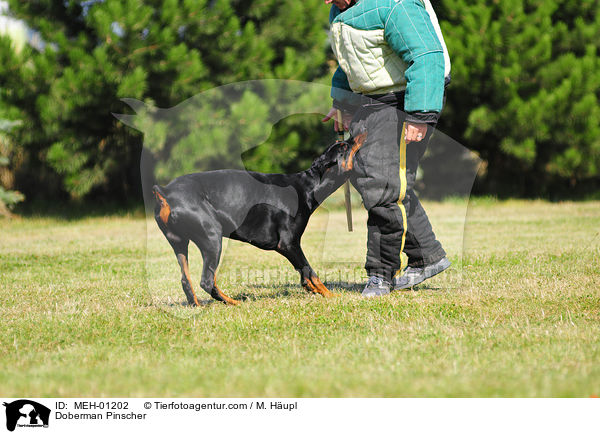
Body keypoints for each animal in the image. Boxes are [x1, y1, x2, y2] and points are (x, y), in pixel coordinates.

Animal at [152, 133, 366, 306]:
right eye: (344, 146)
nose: (359, 132)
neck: (308, 186)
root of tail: (166, 192)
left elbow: (305, 275)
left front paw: (314, 291)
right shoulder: (288, 243)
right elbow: (310, 271)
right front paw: (330, 295)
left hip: (179, 243)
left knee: (185, 280)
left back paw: (198, 305)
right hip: (212, 238)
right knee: (206, 280)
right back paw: (233, 302)